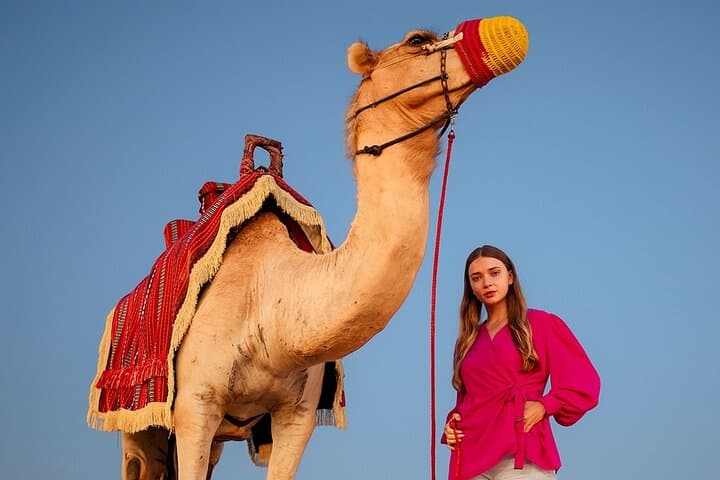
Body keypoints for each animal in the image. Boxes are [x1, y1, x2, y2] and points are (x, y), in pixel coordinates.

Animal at [107, 15, 528, 480]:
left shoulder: (297, 416)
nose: (504, 31)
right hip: (140, 417)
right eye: (417, 40)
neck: (271, 303)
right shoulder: (195, 405)